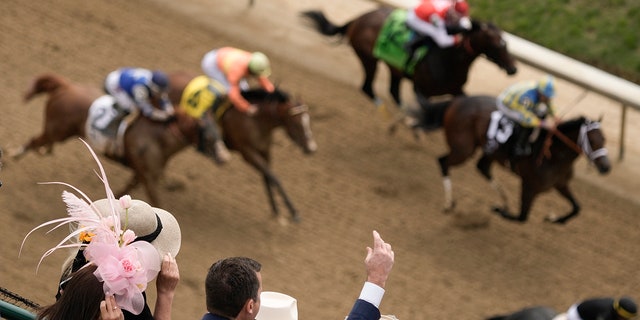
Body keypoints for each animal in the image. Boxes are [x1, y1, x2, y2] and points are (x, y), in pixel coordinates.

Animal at [10, 73, 219, 206]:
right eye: (210, 136)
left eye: (218, 133)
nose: (223, 158)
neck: (158, 138)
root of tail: (66, 86)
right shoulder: (148, 178)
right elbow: (156, 202)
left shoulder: (140, 174)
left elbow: (125, 192)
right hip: (56, 130)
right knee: (34, 141)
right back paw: (12, 156)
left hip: (60, 132)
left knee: (41, 143)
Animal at [165, 71, 316, 222]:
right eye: (296, 123)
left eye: (308, 119)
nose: (312, 148)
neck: (255, 120)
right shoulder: (247, 153)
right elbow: (274, 178)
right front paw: (293, 211)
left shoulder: (265, 150)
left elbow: (267, 177)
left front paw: (276, 210)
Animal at [302, 6, 516, 107]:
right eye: (498, 44)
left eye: (506, 42)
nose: (513, 69)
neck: (449, 60)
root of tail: (358, 18)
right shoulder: (421, 90)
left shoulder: (456, 89)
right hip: (369, 59)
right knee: (367, 87)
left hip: (394, 68)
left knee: (393, 91)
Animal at [440, 95, 608, 222]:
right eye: (592, 141)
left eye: (604, 140)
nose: (606, 167)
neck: (553, 157)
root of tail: (457, 101)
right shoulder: (529, 186)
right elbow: (522, 217)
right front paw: (498, 210)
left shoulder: (560, 184)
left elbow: (576, 208)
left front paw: (554, 219)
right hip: (463, 150)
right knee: (443, 162)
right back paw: (448, 203)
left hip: (489, 152)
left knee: (482, 168)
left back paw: (504, 200)